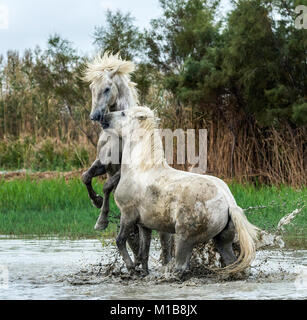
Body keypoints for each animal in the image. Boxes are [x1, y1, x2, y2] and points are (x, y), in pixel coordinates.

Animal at [103, 107, 260, 276]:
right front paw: (143, 272)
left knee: (181, 266)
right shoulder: (144, 224)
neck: (139, 169)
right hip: (222, 240)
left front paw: (131, 267)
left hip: (184, 238)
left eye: (123, 113)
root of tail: (228, 200)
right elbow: (143, 252)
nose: (103, 117)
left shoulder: (128, 214)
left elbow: (120, 241)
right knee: (231, 262)